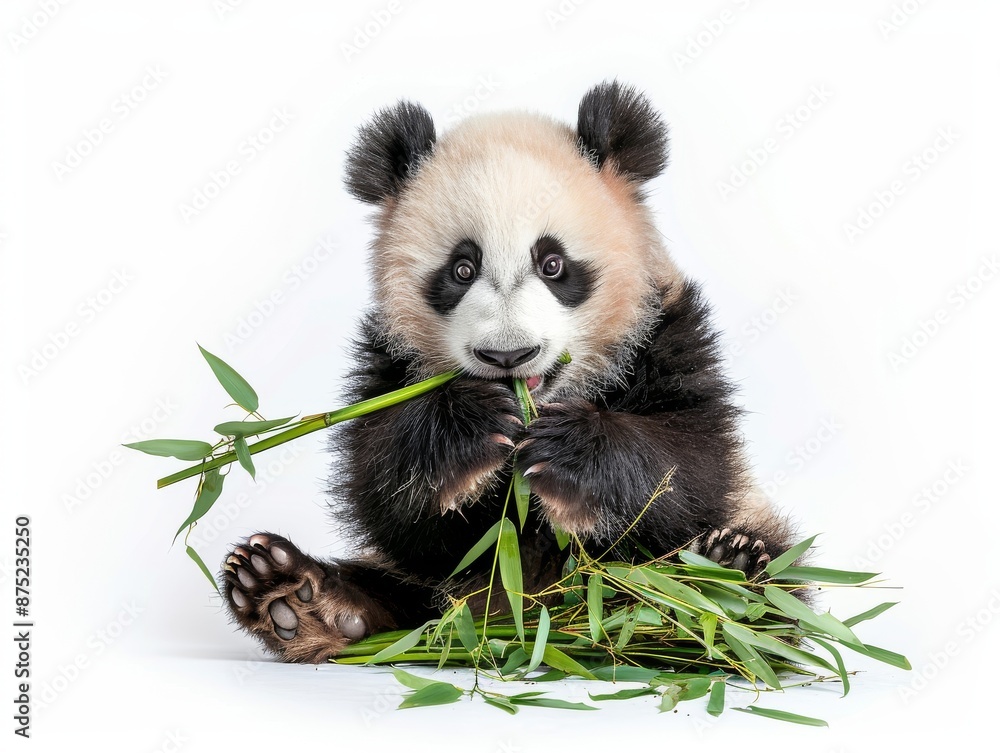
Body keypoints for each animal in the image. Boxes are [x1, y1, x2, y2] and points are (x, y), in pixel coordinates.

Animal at [221, 80, 796, 663]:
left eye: (553, 264)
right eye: (461, 269)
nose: (508, 356)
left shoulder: (667, 333)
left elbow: (692, 467)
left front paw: (571, 449)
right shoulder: (388, 361)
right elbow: (386, 493)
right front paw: (468, 426)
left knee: (772, 591)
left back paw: (723, 583)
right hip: (423, 595)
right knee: (396, 590)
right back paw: (293, 596)